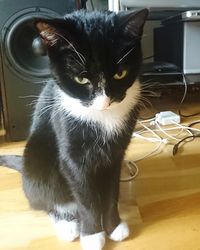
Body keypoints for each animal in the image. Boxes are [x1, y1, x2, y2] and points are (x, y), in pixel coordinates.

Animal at [0, 9, 148, 250]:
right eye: (80, 78)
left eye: (120, 74)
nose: (104, 102)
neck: (102, 118)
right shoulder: (71, 151)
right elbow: (85, 197)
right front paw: (92, 235)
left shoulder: (115, 154)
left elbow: (111, 192)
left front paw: (114, 226)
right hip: (37, 160)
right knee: (44, 196)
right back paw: (67, 224)